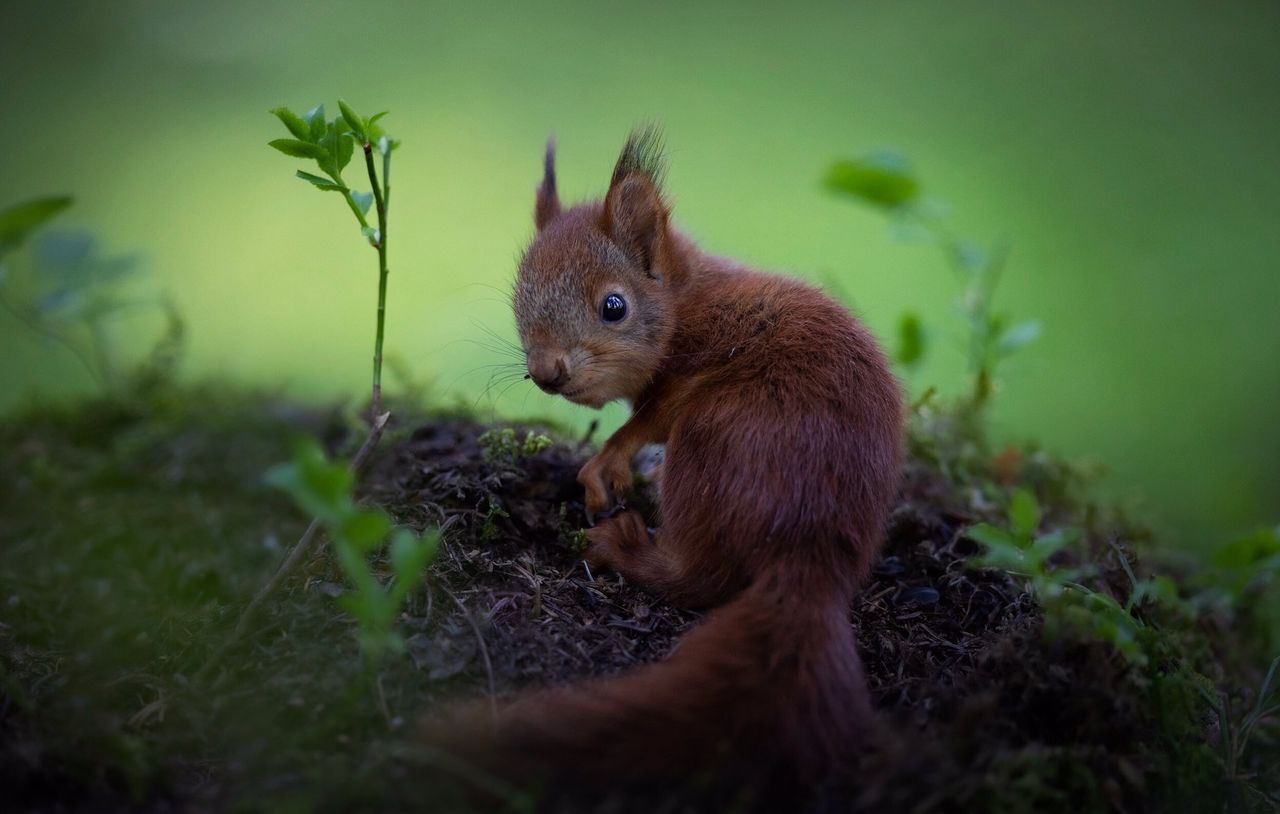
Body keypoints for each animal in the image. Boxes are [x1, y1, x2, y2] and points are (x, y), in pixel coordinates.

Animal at [427, 128, 901, 793]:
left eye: (614, 307)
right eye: (520, 297)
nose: (547, 373)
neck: (685, 299)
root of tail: (812, 552)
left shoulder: (693, 370)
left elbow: (644, 423)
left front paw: (606, 464)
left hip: (712, 440)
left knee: (699, 578)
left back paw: (623, 546)